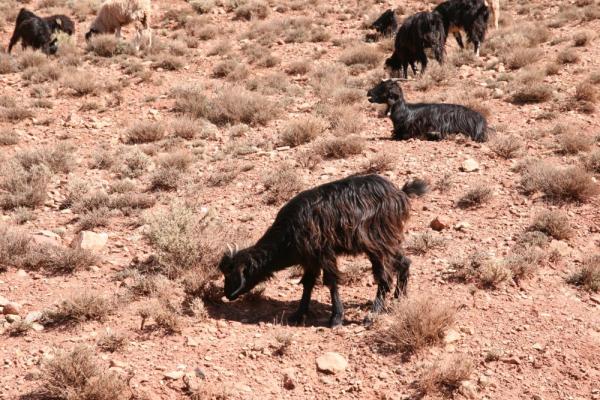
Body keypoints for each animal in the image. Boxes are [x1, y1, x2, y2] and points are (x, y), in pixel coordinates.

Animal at [218, 175, 428, 328]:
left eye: (231, 274)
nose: (227, 294)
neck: (288, 234)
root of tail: (399, 193)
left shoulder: (323, 253)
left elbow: (331, 282)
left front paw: (336, 318)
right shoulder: (309, 259)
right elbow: (308, 283)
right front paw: (298, 314)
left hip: (376, 241)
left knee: (384, 277)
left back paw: (372, 315)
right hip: (389, 238)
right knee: (404, 262)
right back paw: (400, 298)